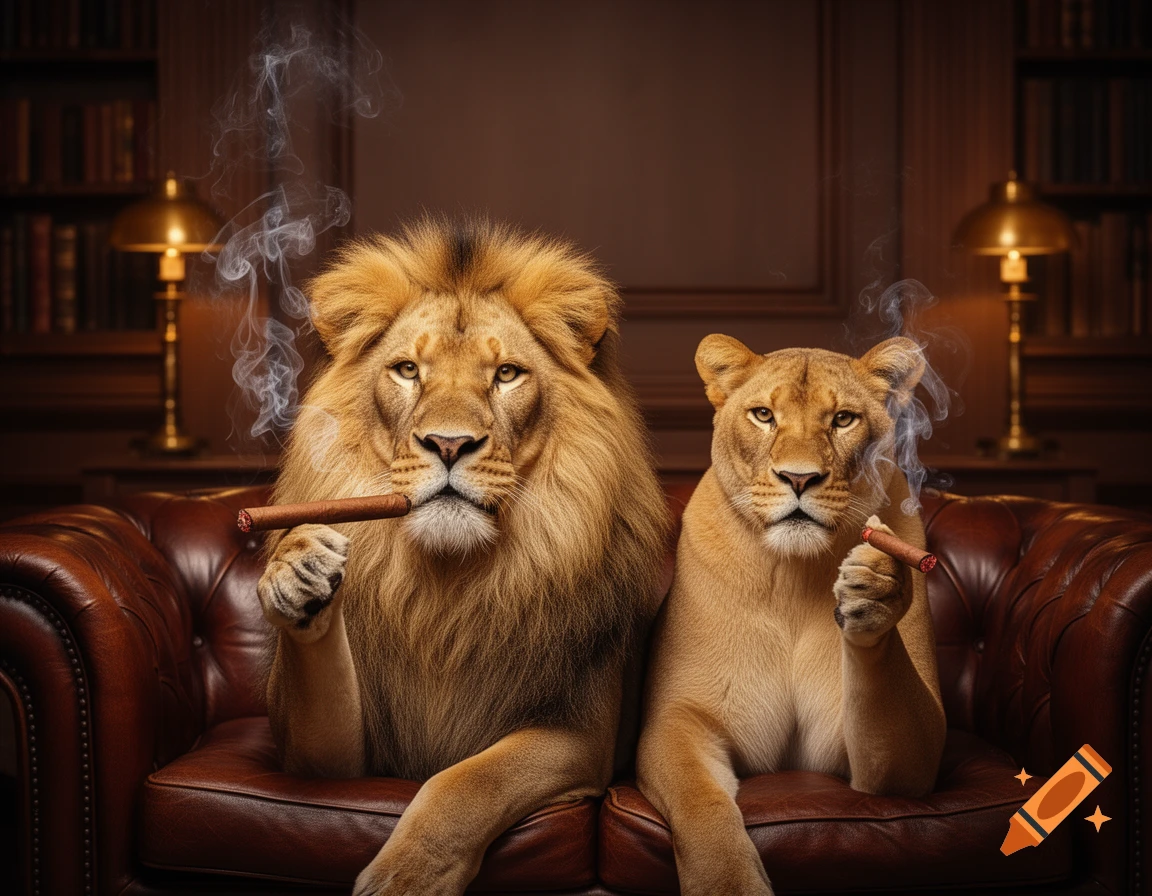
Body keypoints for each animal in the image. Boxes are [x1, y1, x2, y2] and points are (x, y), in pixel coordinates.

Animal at [256, 219, 669, 895]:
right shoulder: (333, 757)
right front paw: (297, 568)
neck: (447, 590)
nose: (449, 444)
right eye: (406, 370)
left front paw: (403, 877)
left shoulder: (578, 736)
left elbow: (466, 783)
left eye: (506, 374)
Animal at [636, 334, 947, 896]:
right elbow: (703, 807)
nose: (799, 479)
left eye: (843, 419)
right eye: (763, 415)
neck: (792, 580)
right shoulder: (680, 720)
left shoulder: (891, 755)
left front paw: (878, 589)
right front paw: (730, 882)